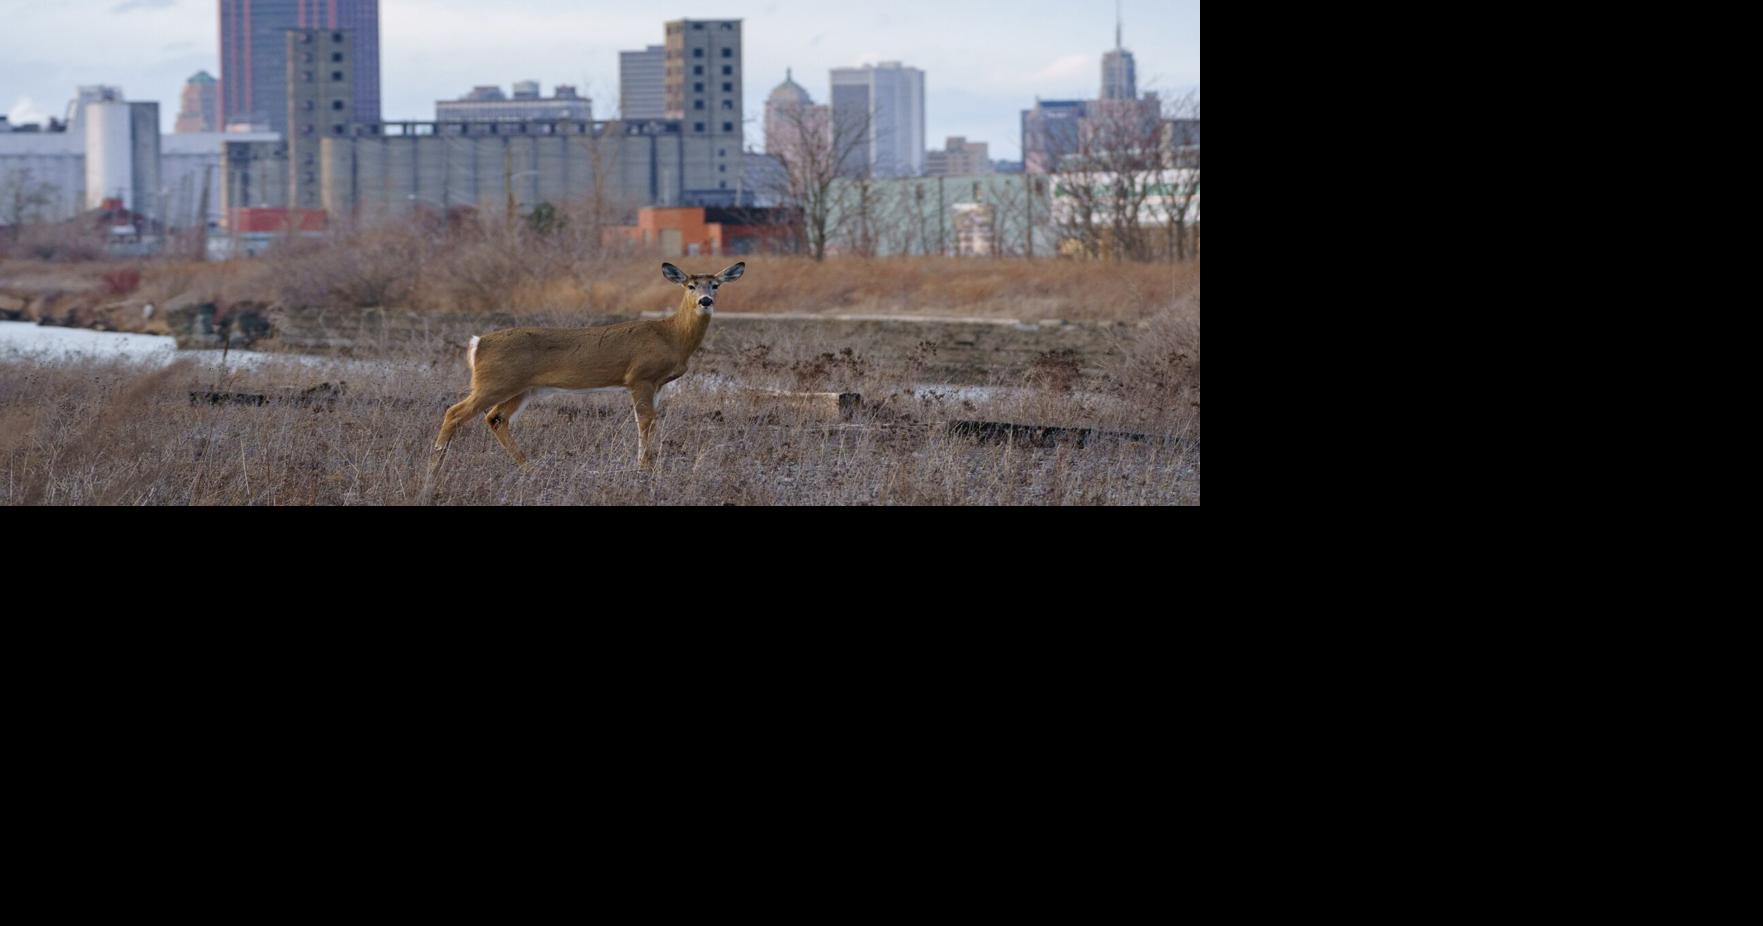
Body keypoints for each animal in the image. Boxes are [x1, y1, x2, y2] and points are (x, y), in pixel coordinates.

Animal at [424, 261, 745, 489]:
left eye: (715, 284)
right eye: (690, 285)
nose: (705, 301)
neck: (671, 335)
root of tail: (477, 343)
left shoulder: (657, 384)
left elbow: (650, 422)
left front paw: (646, 465)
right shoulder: (639, 376)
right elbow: (645, 422)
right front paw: (645, 468)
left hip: (522, 388)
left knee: (495, 418)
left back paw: (530, 467)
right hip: (494, 382)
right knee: (454, 412)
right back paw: (434, 468)